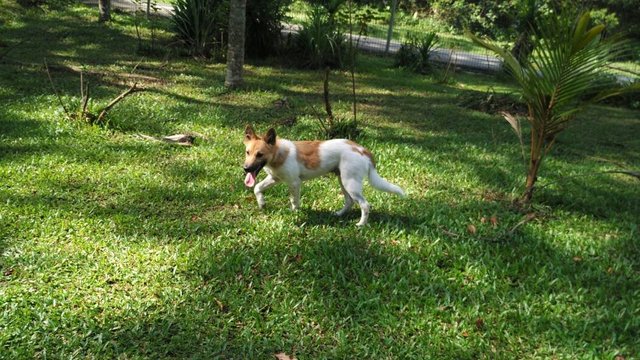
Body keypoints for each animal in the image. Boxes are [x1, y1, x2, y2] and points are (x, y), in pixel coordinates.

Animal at [242, 124, 402, 225]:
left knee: (365, 205)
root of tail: (362, 150)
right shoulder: (275, 178)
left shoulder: (294, 183)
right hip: (343, 180)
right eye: (247, 152)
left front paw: (295, 214)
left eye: (260, 154)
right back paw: (339, 214)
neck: (278, 153)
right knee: (349, 201)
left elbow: (294, 201)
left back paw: (361, 224)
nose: (245, 169)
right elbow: (257, 187)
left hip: (350, 183)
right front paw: (262, 203)